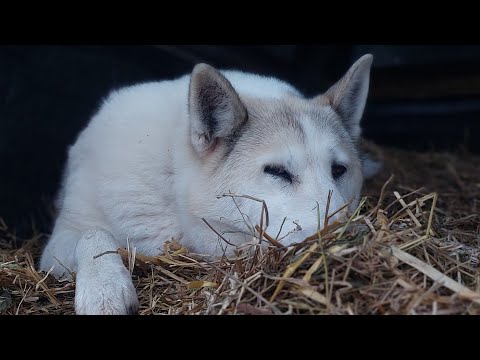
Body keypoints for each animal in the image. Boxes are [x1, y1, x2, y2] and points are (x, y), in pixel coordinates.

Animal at [39, 54, 376, 316]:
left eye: (339, 170)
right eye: (278, 172)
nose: (352, 237)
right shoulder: (61, 239)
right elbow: (93, 235)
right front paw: (104, 289)